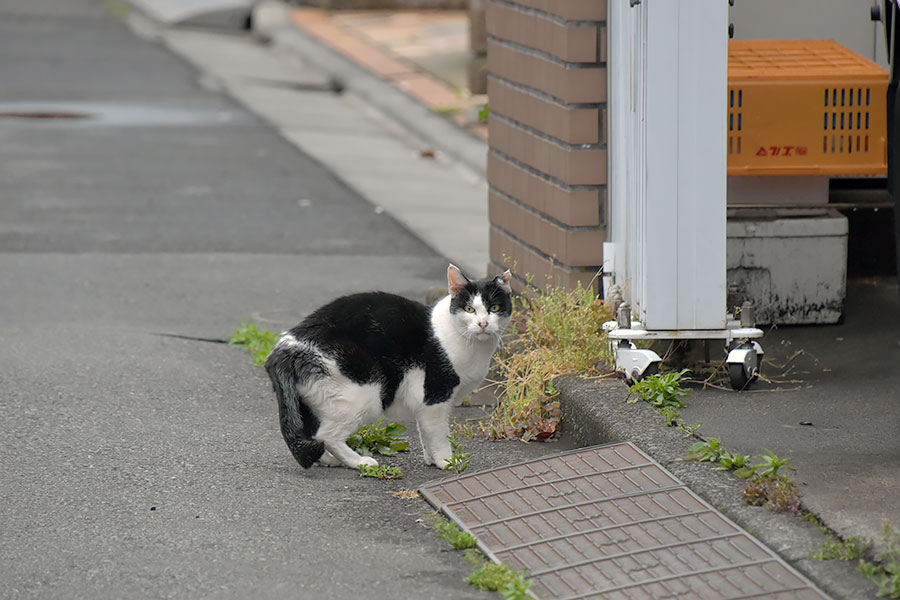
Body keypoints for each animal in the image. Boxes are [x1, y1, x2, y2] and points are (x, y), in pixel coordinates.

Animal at [264, 264, 510, 472]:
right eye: (469, 309)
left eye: (495, 308)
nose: (483, 324)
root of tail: (284, 347)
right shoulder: (435, 396)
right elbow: (438, 433)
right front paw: (446, 461)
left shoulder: (424, 402)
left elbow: (424, 431)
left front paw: (431, 459)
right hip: (364, 393)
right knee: (327, 435)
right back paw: (360, 462)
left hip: (310, 401)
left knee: (313, 433)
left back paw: (329, 460)